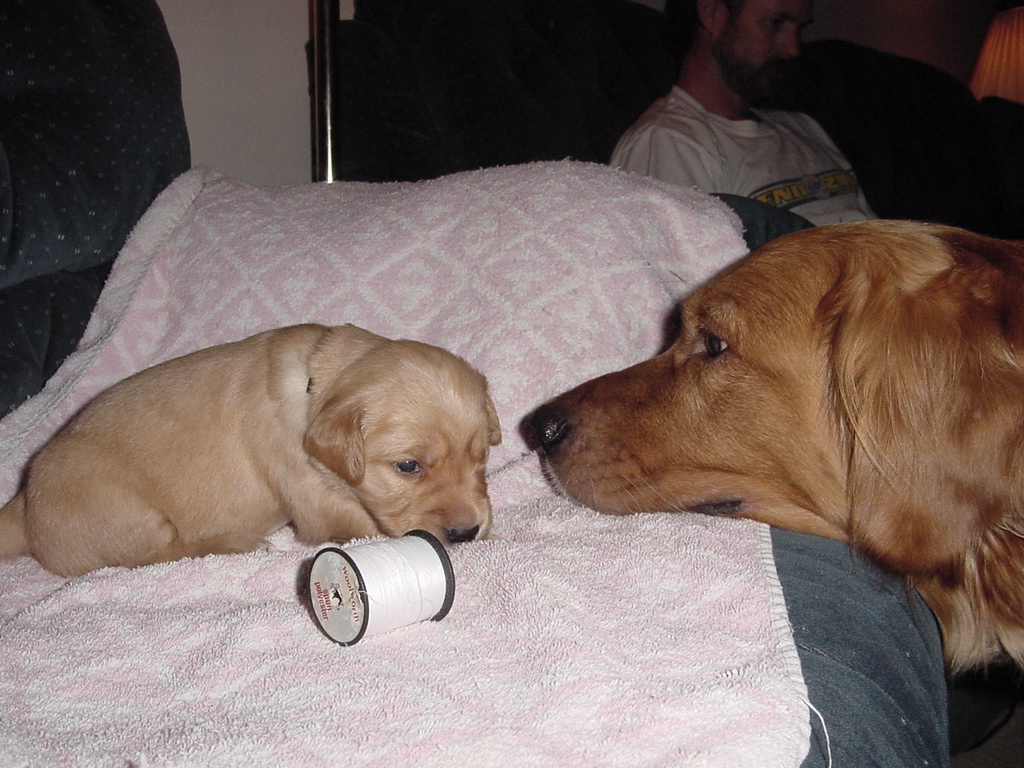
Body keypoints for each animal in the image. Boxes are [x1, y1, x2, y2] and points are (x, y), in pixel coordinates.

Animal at [0, 321, 497, 581]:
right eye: (408, 466)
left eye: (482, 458)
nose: (466, 532)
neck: (316, 386)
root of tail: (23, 504)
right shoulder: (314, 500)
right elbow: (363, 524)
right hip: (120, 507)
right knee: (147, 557)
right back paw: (232, 543)